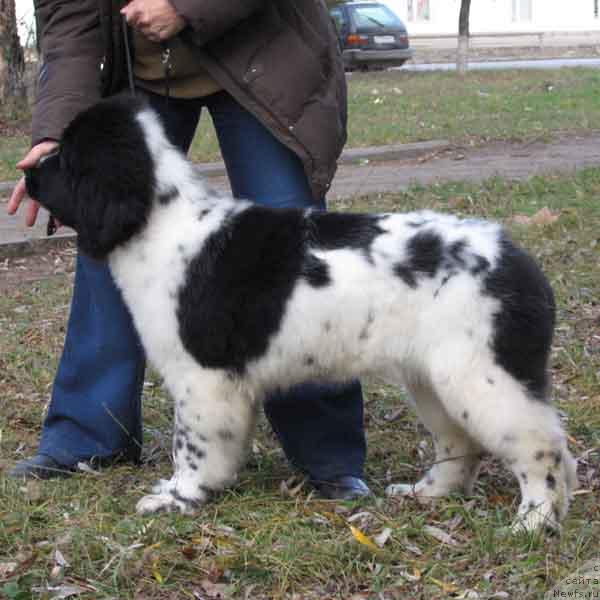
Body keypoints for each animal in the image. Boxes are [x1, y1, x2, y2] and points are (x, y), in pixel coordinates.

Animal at [25, 96, 580, 532]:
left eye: (66, 157)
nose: (26, 170)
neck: (161, 223)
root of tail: (520, 261)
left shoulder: (201, 376)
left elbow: (193, 443)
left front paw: (178, 496)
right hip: (434, 375)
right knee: (459, 440)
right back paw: (428, 492)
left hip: (483, 374)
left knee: (542, 445)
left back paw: (535, 520)